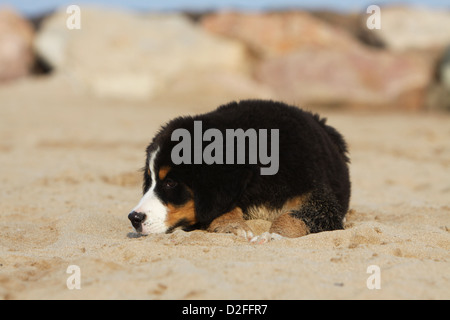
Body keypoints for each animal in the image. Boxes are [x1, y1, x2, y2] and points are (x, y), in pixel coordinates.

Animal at [128, 99, 350, 242]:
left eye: (170, 182)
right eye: (150, 181)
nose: (134, 218)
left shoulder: (315, 194)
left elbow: (295, 216)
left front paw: (275, 235)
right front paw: (232, 227)